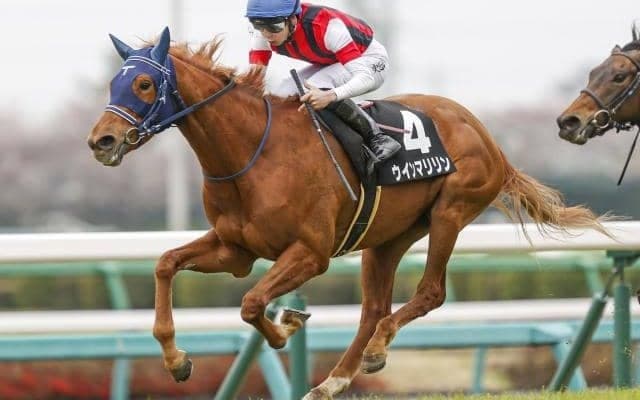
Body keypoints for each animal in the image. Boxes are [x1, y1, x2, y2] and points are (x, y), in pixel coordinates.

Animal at [88, 28, 610, 399]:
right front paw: (177, 361)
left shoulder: (310, 253)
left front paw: (284, 329)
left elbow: (252, 303)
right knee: (373, 308)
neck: (252, 154)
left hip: (451, 212)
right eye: (114, 82)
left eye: (144, 83)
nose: (101, 141)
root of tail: (488, 137)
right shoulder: (235, 249)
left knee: (429, 292)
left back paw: (376, 350)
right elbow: (165, 264)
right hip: (387, 237)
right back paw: (333, 381)